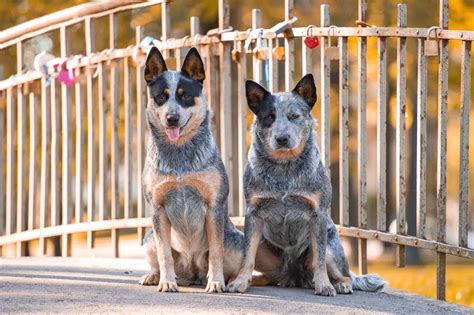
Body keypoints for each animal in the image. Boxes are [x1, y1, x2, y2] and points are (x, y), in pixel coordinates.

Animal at [138, 46, 243, 294]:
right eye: (161, 96)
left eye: (185, 95)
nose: (172, 118)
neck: (180, 155)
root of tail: (193, 272)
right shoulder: (158, 208)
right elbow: (164, 253)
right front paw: (167, 282)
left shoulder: (213, 206)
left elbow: (215, 252)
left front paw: (216, 282)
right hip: (148, 238)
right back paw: (154, 276)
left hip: (237, 242)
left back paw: (232, 282)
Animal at [226, 73, 386, 296]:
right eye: (270, 117)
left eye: (294, 116)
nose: (282, 138)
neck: (284, 168)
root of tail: (293, 277)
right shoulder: (254, 213)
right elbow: (247, 256)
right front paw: (240, 282)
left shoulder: (317, 214)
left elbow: (318, 259)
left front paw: (325, 285)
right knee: (268, 275)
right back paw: (252, 280)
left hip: (331, 248)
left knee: (343, 272)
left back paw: (341, 284)